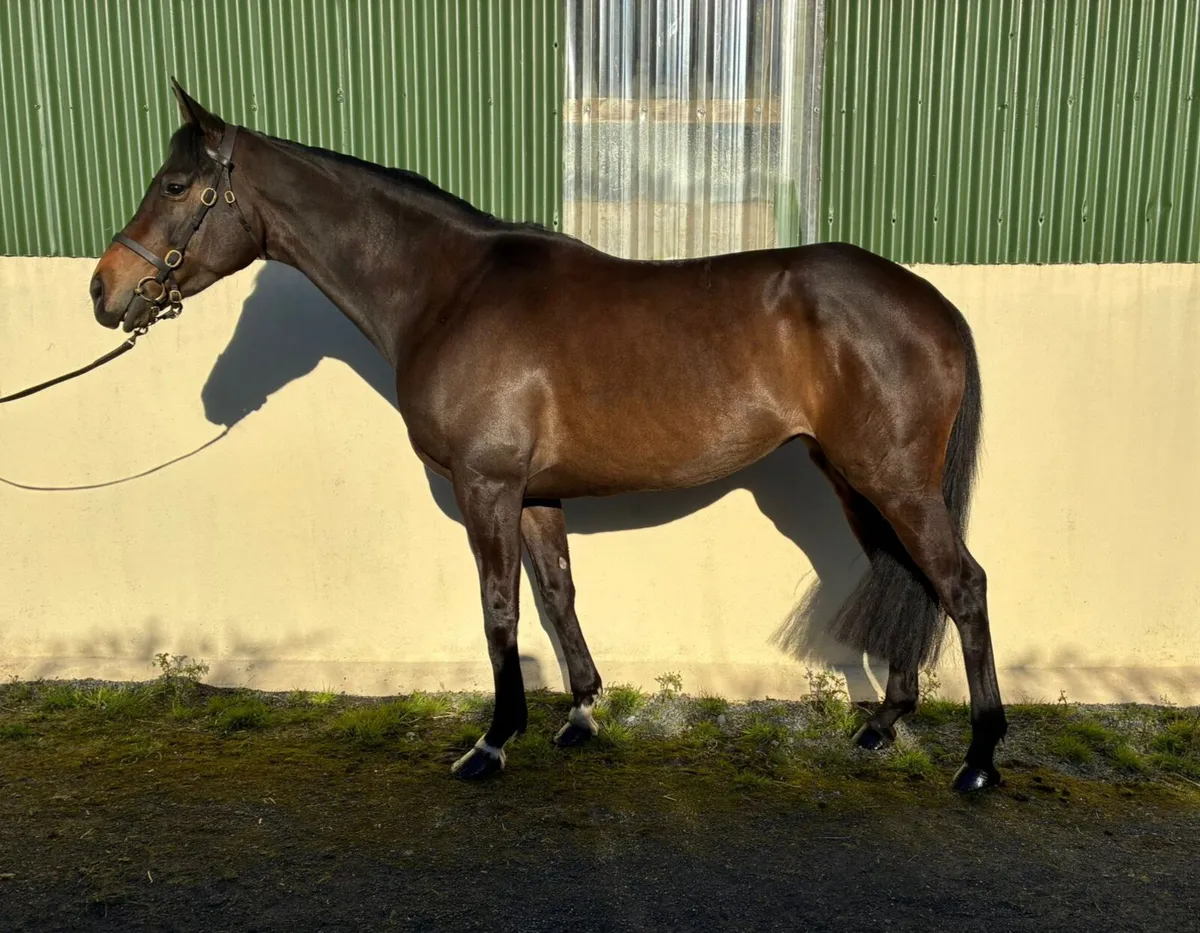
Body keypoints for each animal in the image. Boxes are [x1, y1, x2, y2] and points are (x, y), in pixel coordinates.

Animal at [90, 80, 1007, 792]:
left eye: (176, 185)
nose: (105, 290)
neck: (449, 291)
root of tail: (933, 303)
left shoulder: (486, 485)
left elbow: (500, 607)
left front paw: (493, 742)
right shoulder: (535, 495)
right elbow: (558, 594)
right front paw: (582, 713)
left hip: (892, 479)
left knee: (961, 583)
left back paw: (979, 758)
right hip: (852, 477)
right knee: (907, 578)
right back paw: (882, 725)